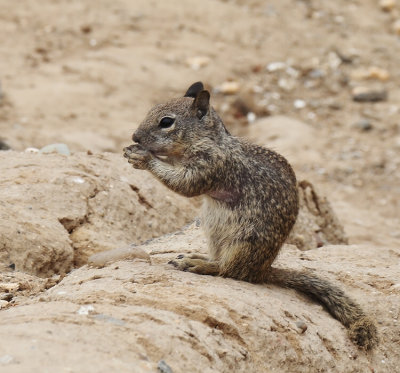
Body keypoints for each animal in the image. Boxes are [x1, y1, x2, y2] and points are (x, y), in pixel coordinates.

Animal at [124, 80, 378, 348]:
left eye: (166, 122)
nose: (134, 136)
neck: (208, 140)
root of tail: (262, 271)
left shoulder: (211, 166)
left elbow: (185, 184)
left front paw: (143, 158)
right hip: (215, 232)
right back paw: (199, 257)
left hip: (243, 242)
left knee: (229, 271)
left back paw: (200, 265)